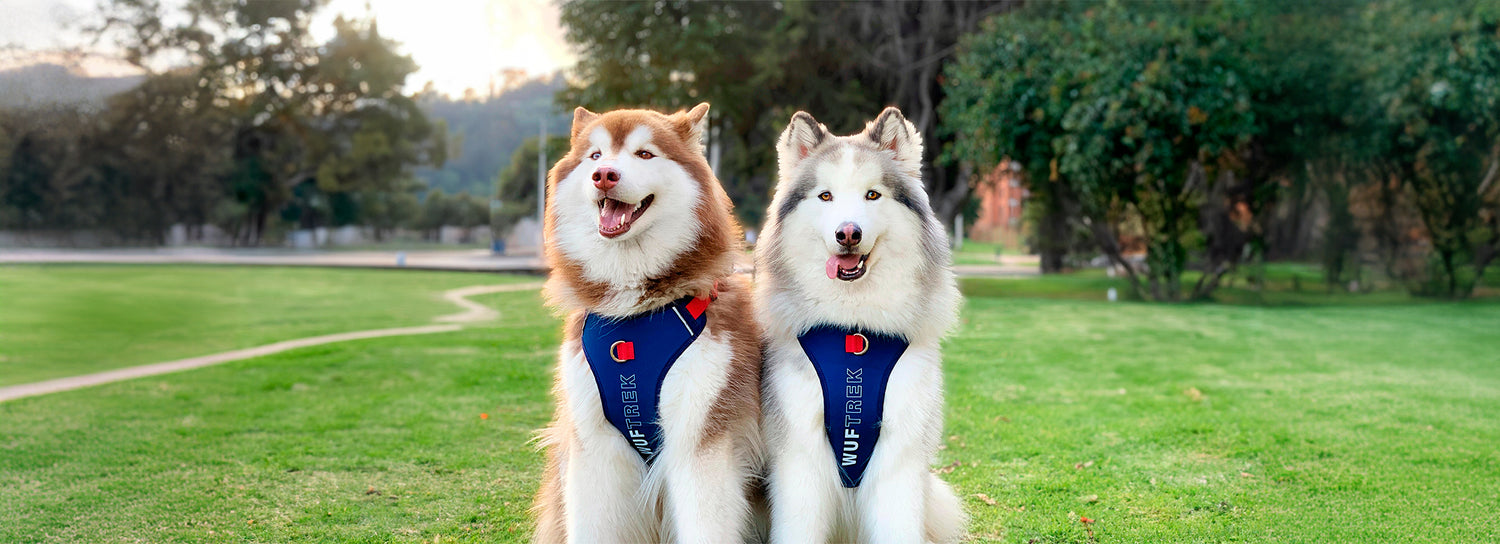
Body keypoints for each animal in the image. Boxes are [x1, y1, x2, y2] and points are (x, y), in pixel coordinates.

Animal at [531, 104, 762, 542]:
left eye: (644, 154)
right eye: (595, 155)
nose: (604, 175)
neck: (633, 314)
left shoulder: (699, 441)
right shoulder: (595, 447)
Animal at [756, 108, 966, 542]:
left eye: (872, 194)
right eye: (825, 196)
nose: (848, 233)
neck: (854, 328)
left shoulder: (900, 452)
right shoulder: (799, 455)